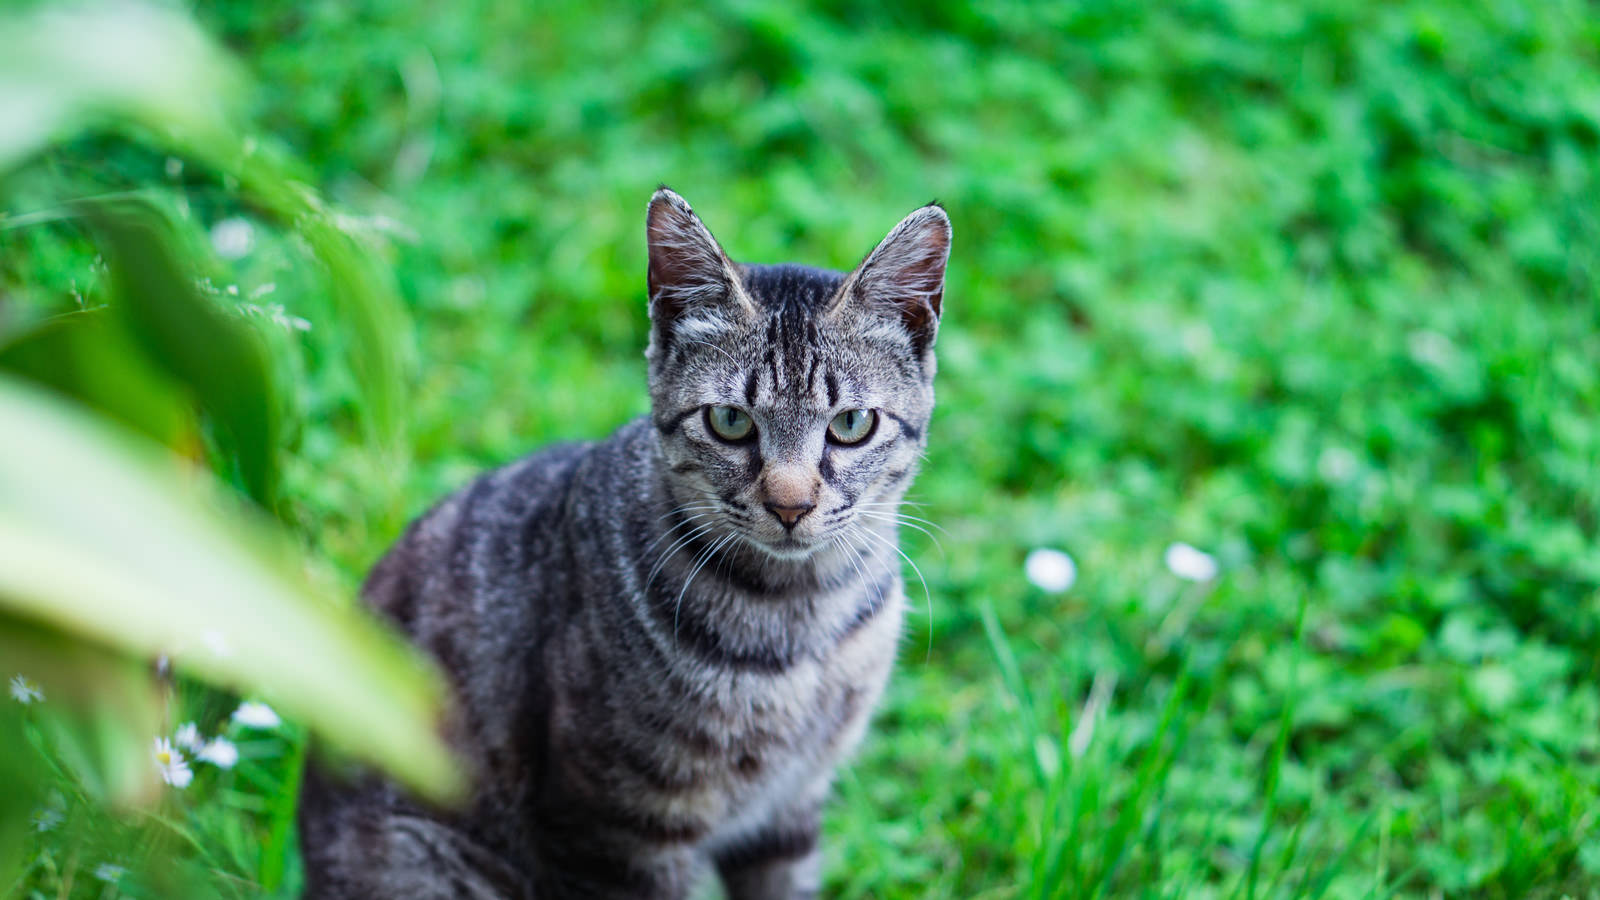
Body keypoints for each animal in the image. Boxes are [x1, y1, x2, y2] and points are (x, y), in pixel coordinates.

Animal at [297, 185, 947, 890]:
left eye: (851, 424)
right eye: (730, 421)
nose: (791, 505)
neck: (799, 620)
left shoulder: (788, 809)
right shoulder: (612, 831)